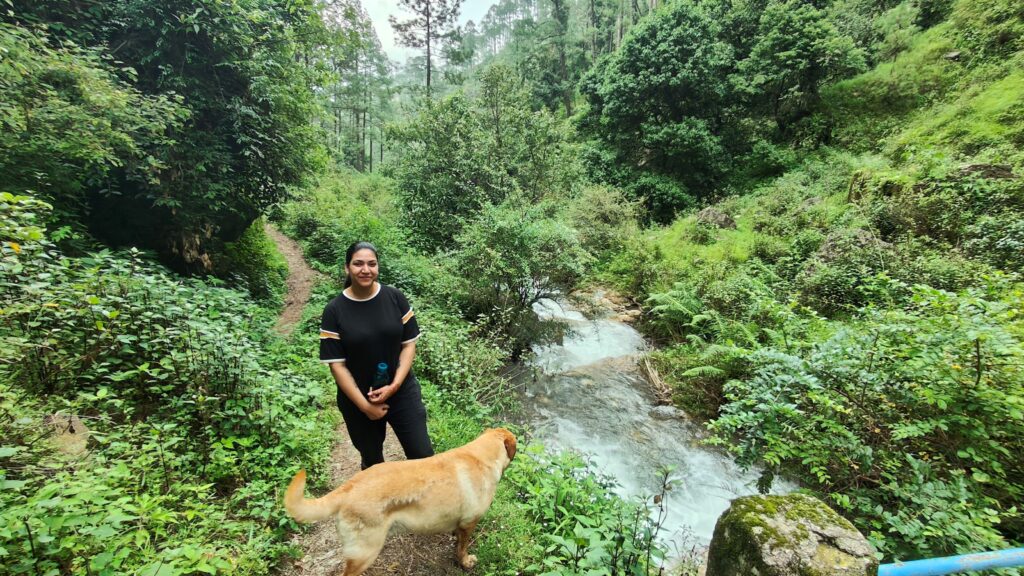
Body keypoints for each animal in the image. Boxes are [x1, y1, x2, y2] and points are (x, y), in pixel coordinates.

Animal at [282, 424, 516, 569]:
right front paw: (465, 562)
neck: (481, 456)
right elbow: (462, 548)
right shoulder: (470, 523)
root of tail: (347, 487)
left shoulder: (461, 523)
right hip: (365, 552)